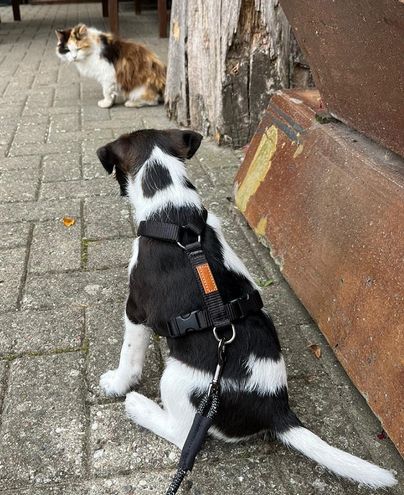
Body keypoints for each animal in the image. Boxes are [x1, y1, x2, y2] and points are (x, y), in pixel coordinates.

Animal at [97, 130, 394, 490]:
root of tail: (276, 410)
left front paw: (118, 384)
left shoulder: (136, 310)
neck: (173, 214)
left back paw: (140, 407)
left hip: (177, 379)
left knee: (183, 436)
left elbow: (129, 356)